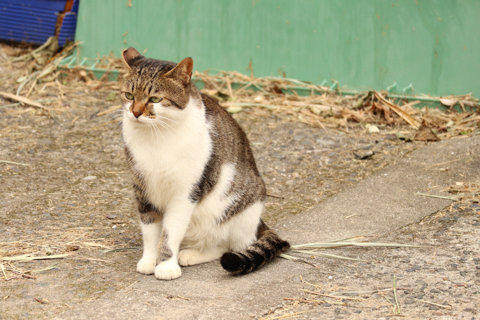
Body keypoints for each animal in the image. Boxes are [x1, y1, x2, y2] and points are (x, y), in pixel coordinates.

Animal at [120, 47, 288, 280]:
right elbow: (150, 230)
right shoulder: (143, 190)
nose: (135, 113)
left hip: (238, 210)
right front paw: (149, 260)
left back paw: (190, 254)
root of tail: (258, 223)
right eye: (129, 95)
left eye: (154, 98)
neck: (155, 136)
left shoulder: (185, 193)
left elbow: (171, 232)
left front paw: (166, 265)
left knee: (226, 247)